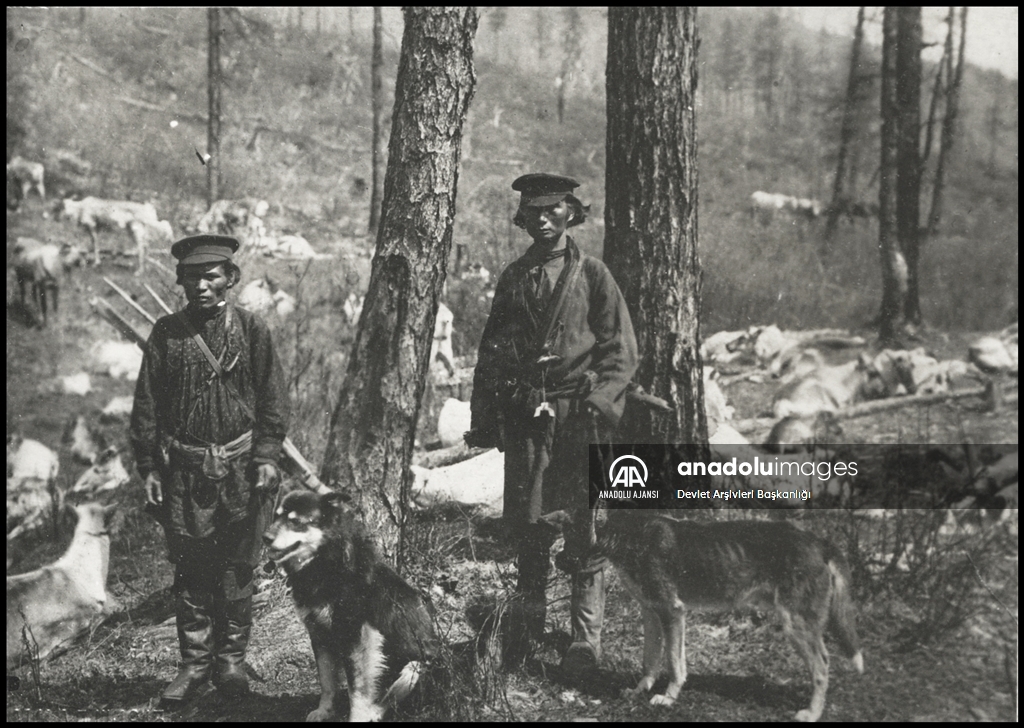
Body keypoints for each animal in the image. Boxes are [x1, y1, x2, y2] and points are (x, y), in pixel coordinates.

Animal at [262, 489, 438, 724]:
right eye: (276, 516)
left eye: (295, 521)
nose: (265, 537)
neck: (326, 566)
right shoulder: (318, 632)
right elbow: (327, 681)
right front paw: (325, 711)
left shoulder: (358, 637)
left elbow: (358, 690)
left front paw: (357, 716)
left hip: (415, 666)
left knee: (386, 700)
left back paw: (373, 713)